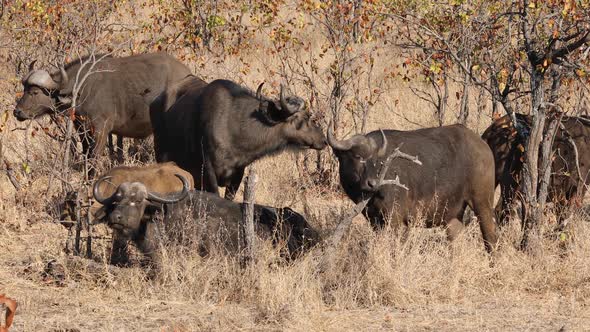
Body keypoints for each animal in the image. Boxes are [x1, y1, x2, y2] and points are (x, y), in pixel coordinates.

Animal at [13, 51, 191, 163]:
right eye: (24, 89)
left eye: (35, 92)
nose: (17, 112)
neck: (81, 88)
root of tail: (187, 73)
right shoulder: (82, 130)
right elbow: (86, 156)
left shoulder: (101, 130)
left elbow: (94, 159)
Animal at [328, 124, 500, 252]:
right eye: (357, 157)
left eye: (376, 160)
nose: (373, 183)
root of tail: (483, 145)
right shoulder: (374, 220)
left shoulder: (395, 220)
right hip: (452, 216)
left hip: (482, 202)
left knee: (490, 237)